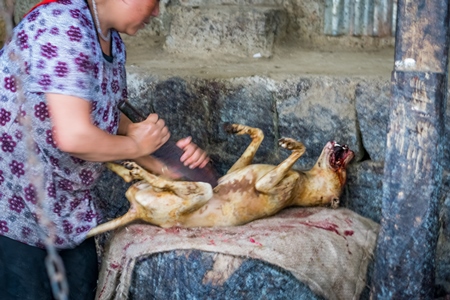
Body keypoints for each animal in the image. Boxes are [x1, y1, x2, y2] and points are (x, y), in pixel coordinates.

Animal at [87, 122, 356, 237]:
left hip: (198, 191)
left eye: (343, 173)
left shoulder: (278, 184)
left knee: (159, 181)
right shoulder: (231, 171)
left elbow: (299, 149)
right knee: (130, 177)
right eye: (346, 167)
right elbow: (259, 135)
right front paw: (238, 128)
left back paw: (135, 169)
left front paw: (292, 144)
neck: (306, 180)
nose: (349, 148)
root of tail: (137, 211)